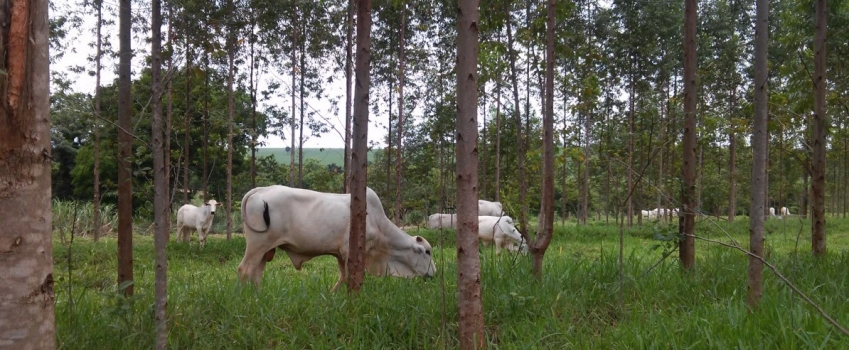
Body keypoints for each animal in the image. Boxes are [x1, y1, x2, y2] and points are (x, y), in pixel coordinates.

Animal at [238, 186, 438, 292]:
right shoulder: (351, 251)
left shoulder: (340, 254)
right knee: (244, 270)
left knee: (256, 274)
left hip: (265, 250)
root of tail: (261, 190)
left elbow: (343, 276)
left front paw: (332, 294)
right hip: (258, 244)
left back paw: (259, 296)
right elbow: (352, 277)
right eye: (427, 252)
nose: (434, 273)